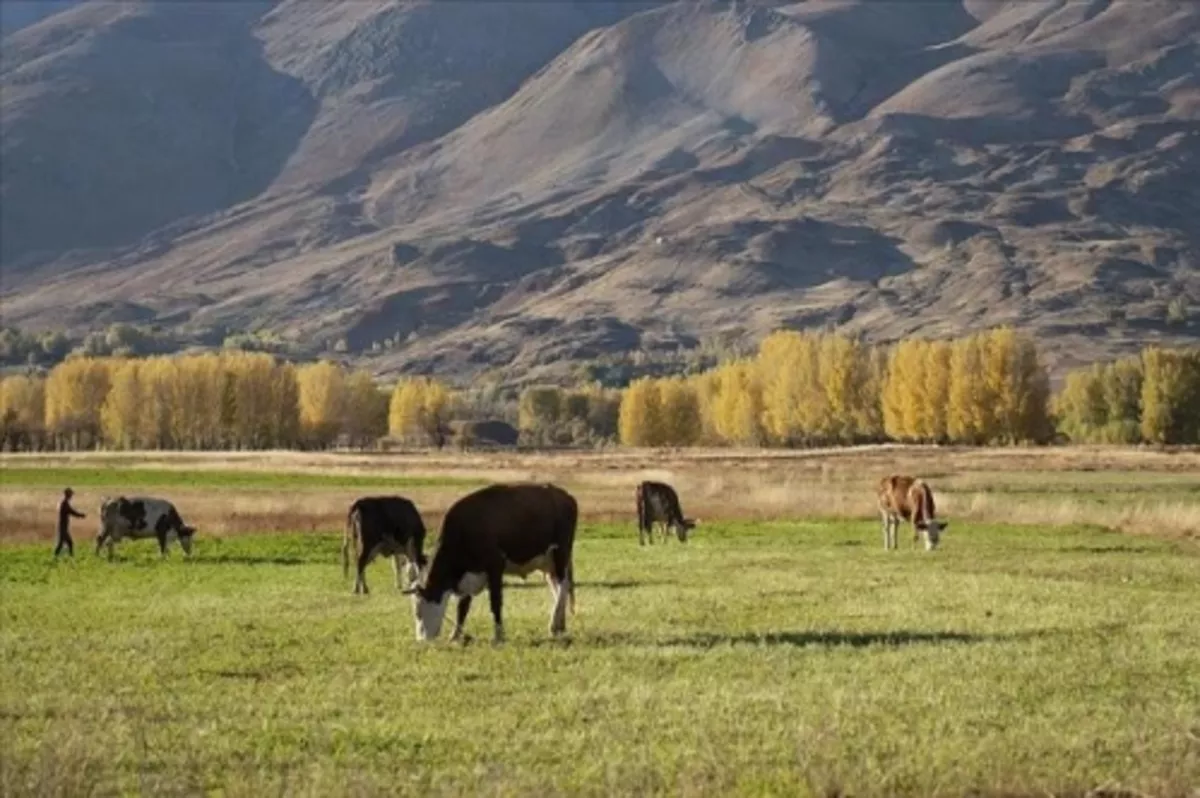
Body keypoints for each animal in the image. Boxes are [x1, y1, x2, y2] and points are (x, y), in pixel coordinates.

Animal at [405, 482, 578, 643]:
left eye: (418, 612)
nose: (421, 640)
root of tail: (565, 495)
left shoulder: (495, 566)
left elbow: (495, 602)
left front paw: (498, 635)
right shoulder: (468, 577)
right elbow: (462, 607)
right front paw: (455, 635)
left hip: (560, 553)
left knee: (563, 585)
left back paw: (554, 624)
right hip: (548, 563)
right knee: (556, 587)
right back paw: (560, 625)